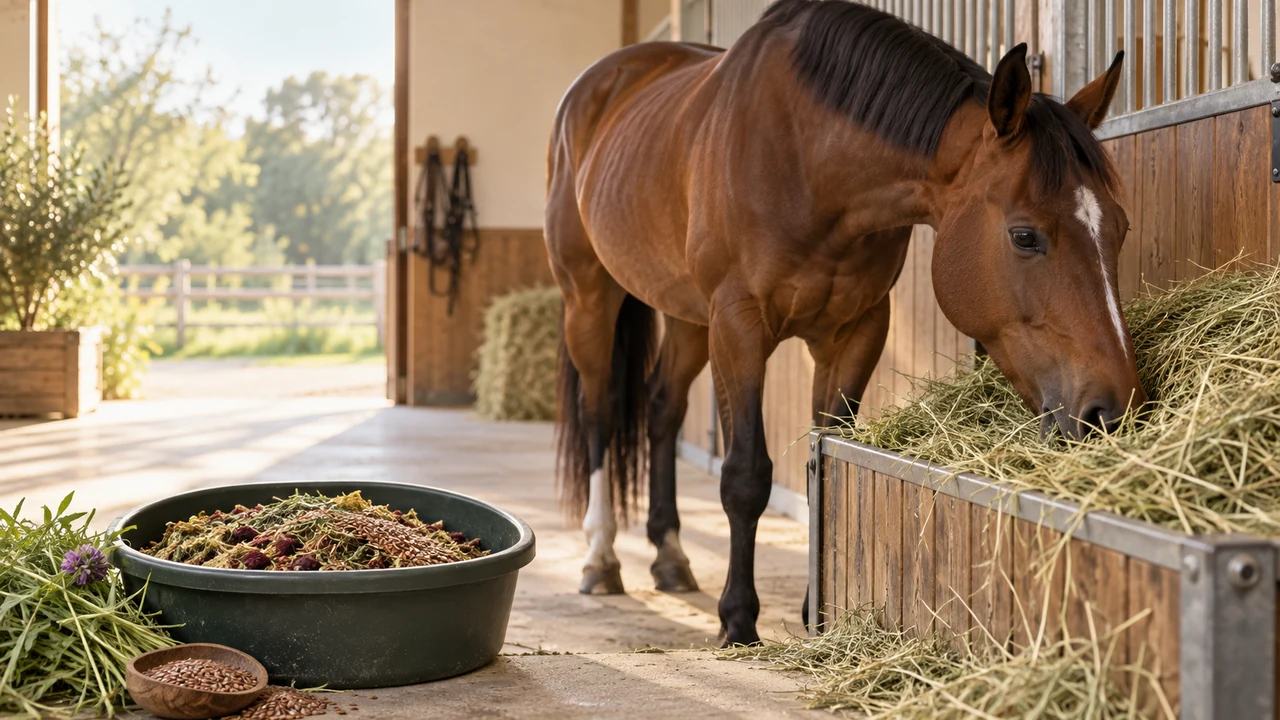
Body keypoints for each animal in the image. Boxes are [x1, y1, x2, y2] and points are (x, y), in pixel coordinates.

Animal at [545, 0, 1147, 647]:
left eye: (1120, 229)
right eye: (1025, 236)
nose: (1113, 411)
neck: (807, 160)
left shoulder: (856, 330)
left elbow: (825, 460)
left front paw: (818, 615)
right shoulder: (739, 324)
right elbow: (746, 475)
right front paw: (738, 619)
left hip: (687, 316)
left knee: (661, 408)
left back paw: (671, 558)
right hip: (590, 296)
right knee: (601, 412)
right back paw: (600, 561)